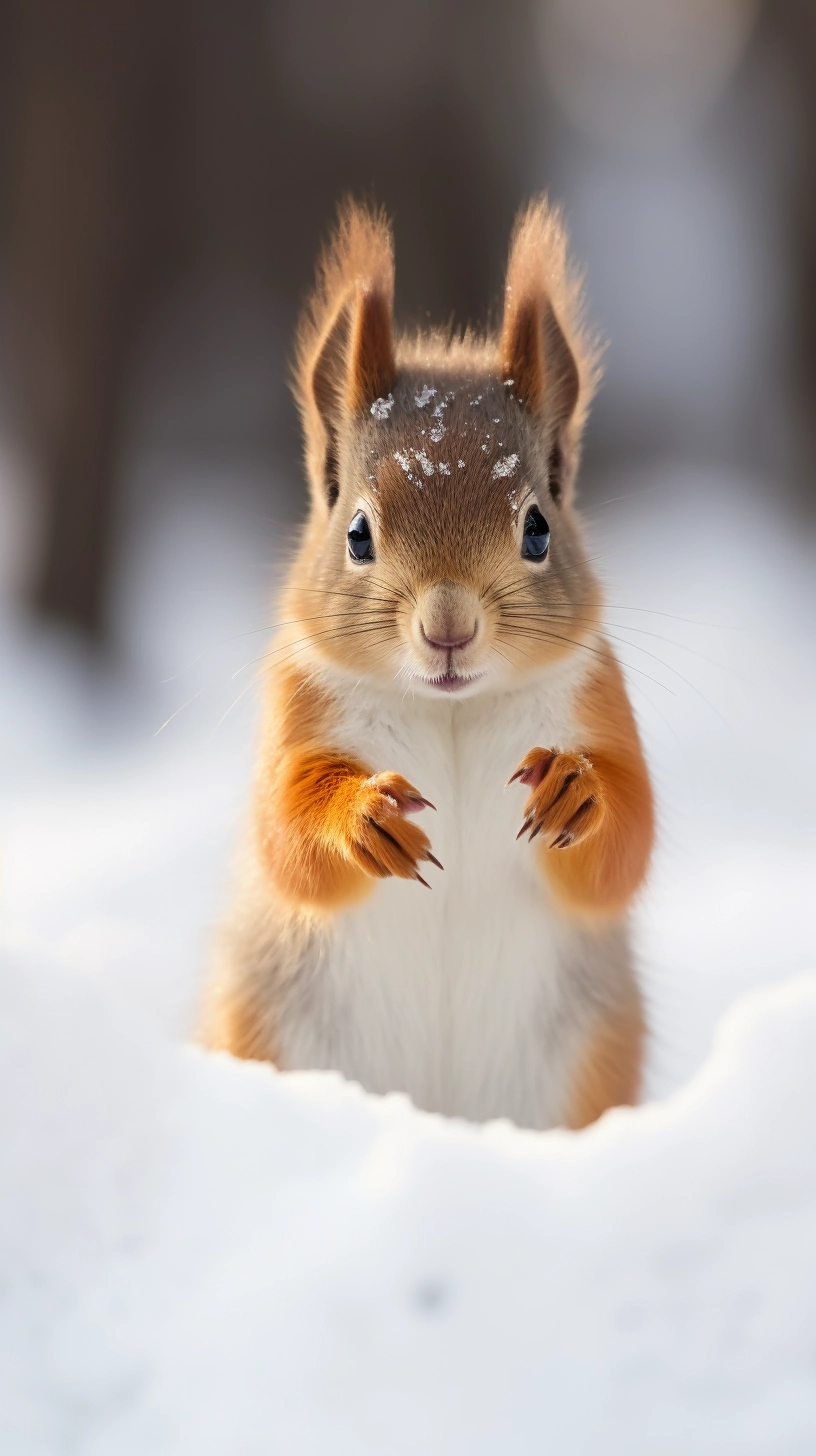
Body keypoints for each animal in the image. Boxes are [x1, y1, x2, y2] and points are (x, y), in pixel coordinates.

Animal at [204, 199, 655, 1129]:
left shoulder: (599, 697)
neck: (451, 707)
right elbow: (285, 832)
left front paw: (579, 789)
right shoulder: (296, 707)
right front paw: (360, 816)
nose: (449, 629)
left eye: (538, 527)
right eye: (357, 533)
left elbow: (626, 839)